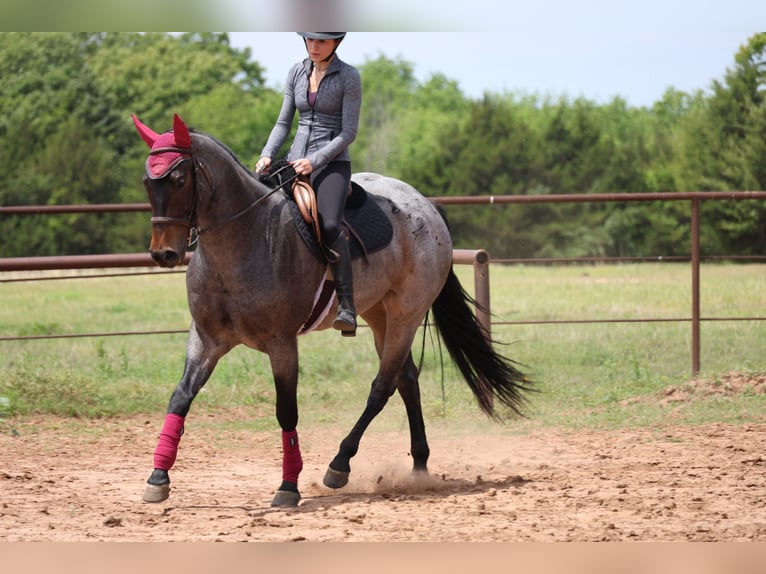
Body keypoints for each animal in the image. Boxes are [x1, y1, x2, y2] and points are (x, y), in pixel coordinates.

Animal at [131, 113, 533, 507]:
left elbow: (286, 410)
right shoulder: (205, 339)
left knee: (383, 386)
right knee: (407, 380)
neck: (246, 239)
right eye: (148, 181)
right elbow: (181, 398)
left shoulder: (281, 343)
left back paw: (340, 465)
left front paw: (288, 487)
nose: (163, 254)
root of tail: (425, 205)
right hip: (379, 315)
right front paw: (158, 477)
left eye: (179, 179)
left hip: (406, 315)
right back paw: (418, 466)